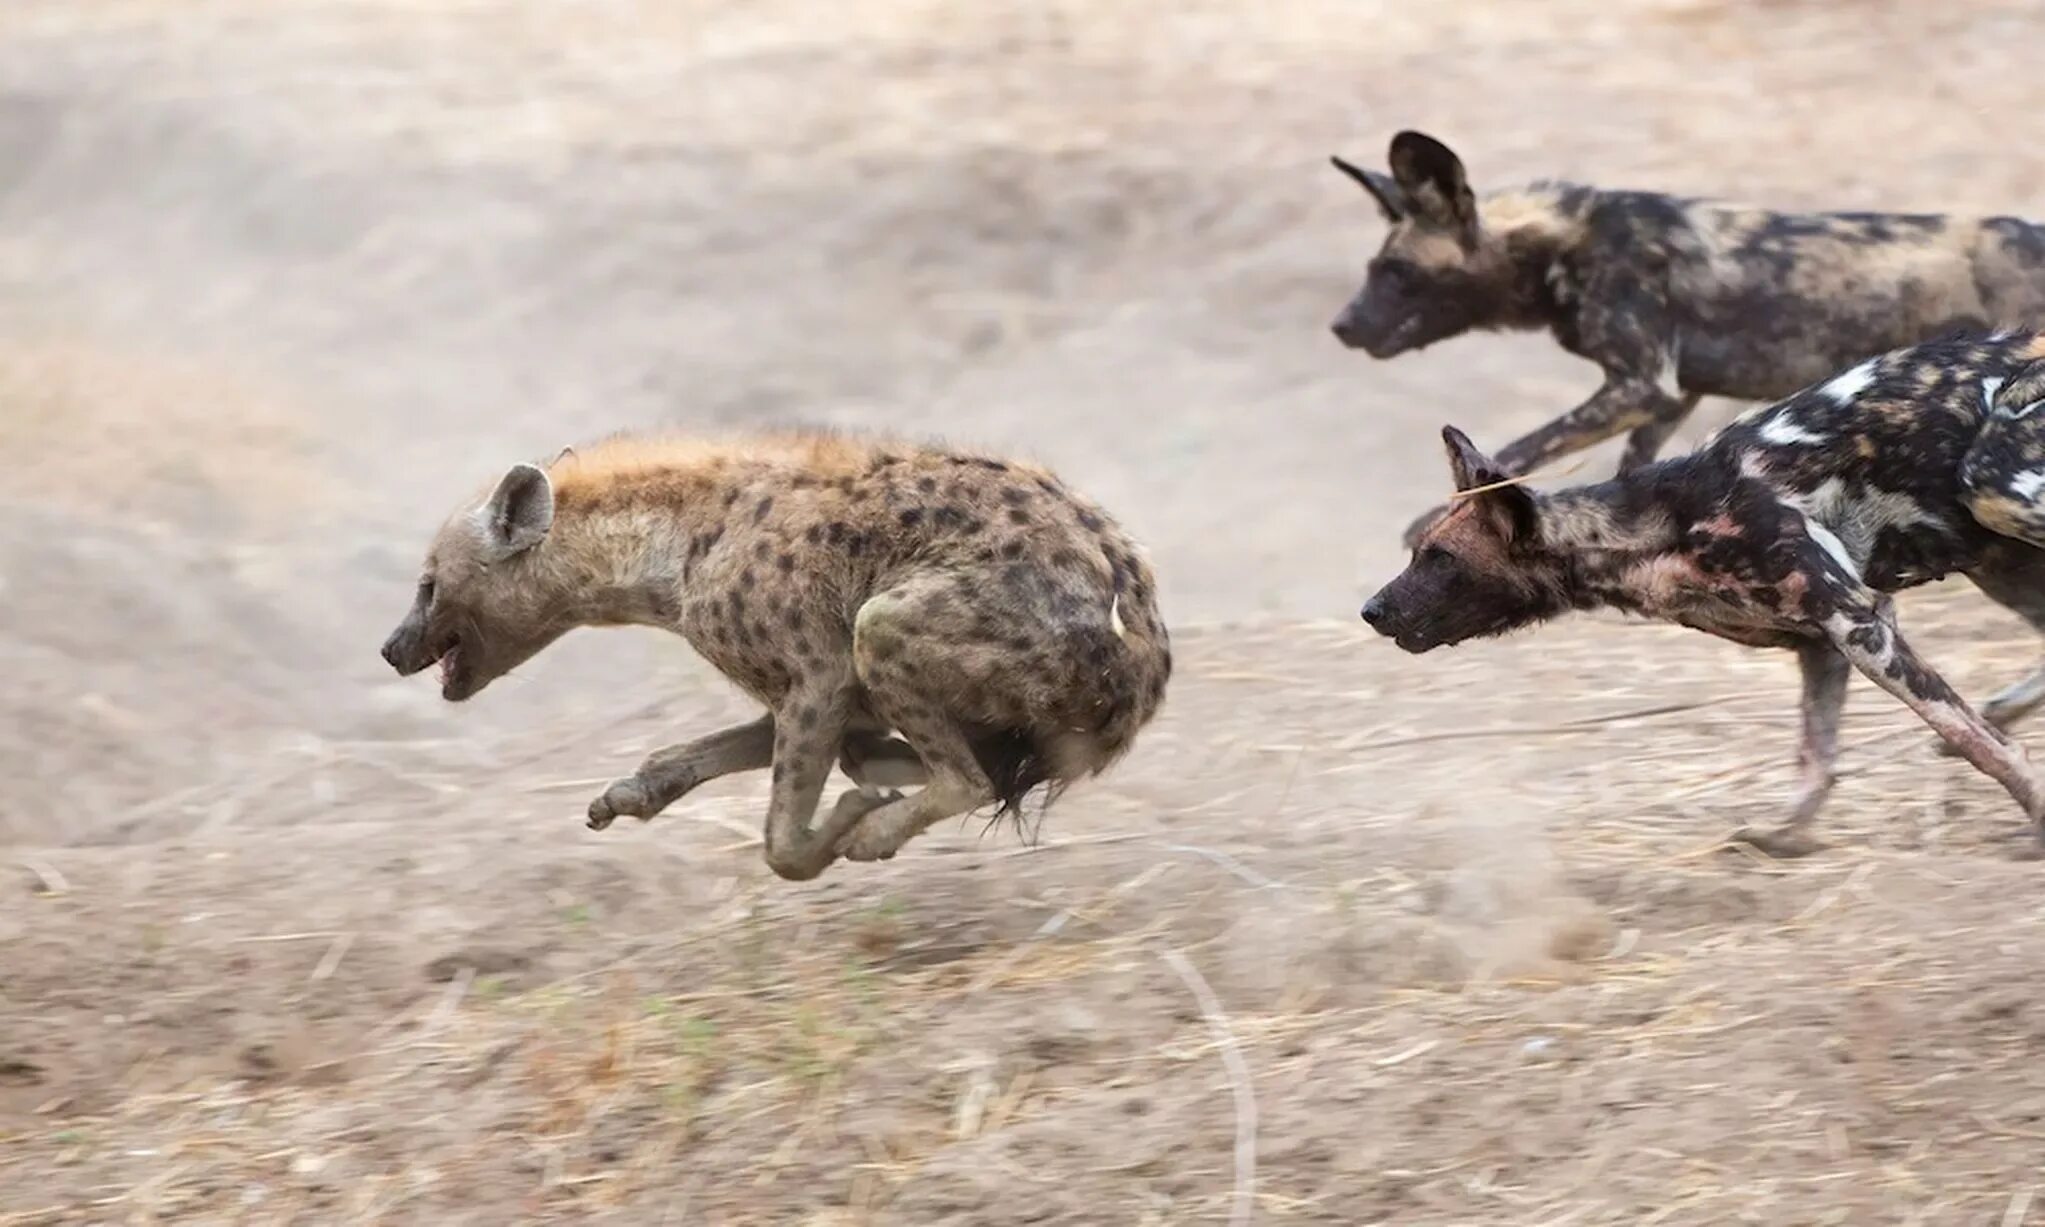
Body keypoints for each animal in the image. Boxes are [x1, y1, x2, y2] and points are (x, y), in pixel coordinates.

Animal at [384, 431, 1177, 883]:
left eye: (428, 584)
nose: (390, 648)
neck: (670, 549)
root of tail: (1145, 659)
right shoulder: (815, 692)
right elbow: (713, 750)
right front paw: (625, 795)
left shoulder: (817, 671)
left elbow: (782, 839)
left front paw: (847, 824)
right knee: (982, 763)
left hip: (896, 624)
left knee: (967, 775)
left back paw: (874, 827)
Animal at [1325, 130, 2045, 548]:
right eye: (1373, 269)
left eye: (1395, 272)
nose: (1342, 326)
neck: (1557, 247)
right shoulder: (1669, 396)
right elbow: (1630, 472)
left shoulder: (1640, 386)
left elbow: (1520, 448)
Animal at [1357, 331, 2045, 858]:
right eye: (1418, 552)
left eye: (1440, 558)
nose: (1371, 610)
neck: (1654, 531)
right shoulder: (1823, 643)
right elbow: (1816, 760)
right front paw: (1784, 838)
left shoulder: (1859, 626)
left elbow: (1983, 746)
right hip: (2001, 560)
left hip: (1995, 495)